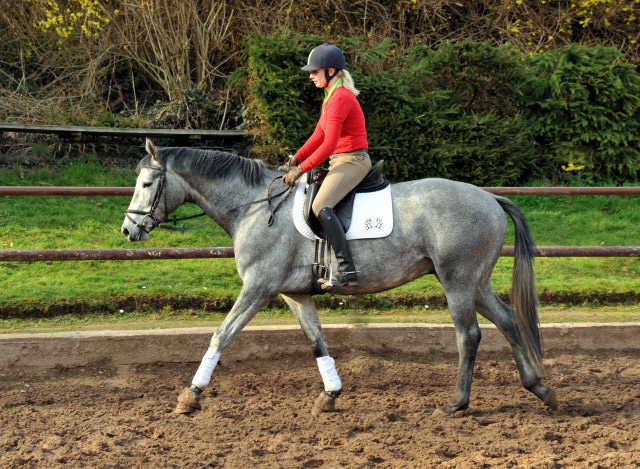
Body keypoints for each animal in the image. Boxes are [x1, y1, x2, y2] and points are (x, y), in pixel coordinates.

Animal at [122, 138, 556, 414]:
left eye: (146, 183)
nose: (128, 230)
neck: (254, 206)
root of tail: (489, 197)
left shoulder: (259, 287)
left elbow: (221, 335)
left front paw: (191, 395)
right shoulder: (295, 294)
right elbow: (317, 342)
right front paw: (330, 395)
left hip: (458, 281)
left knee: (469, 335)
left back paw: (457, 403)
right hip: (475, 282)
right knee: (507, 321)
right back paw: (538, 388)